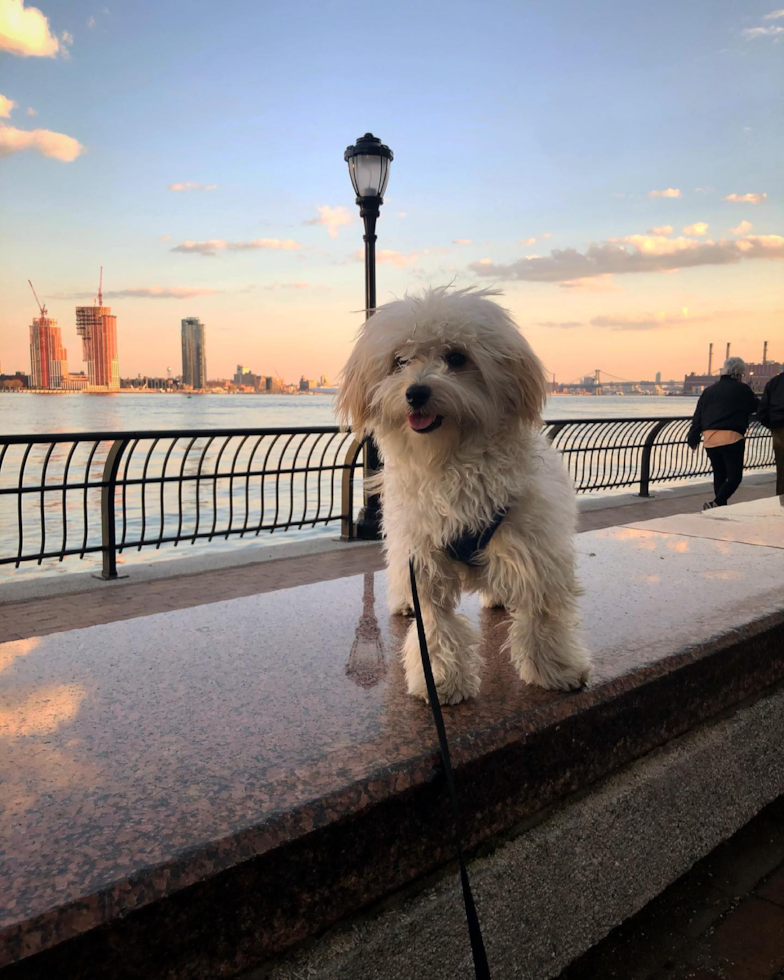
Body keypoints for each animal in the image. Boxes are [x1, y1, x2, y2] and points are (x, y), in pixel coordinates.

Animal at [336, 286, 588, 704]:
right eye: (399, 361)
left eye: (457, 357)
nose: (416, 392)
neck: (450, 459)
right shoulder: (422, 552)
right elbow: (436, 623)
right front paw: (440, 680)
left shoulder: (533, 547)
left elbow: (540, 612)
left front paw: (555, 669)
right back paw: (404, 604)